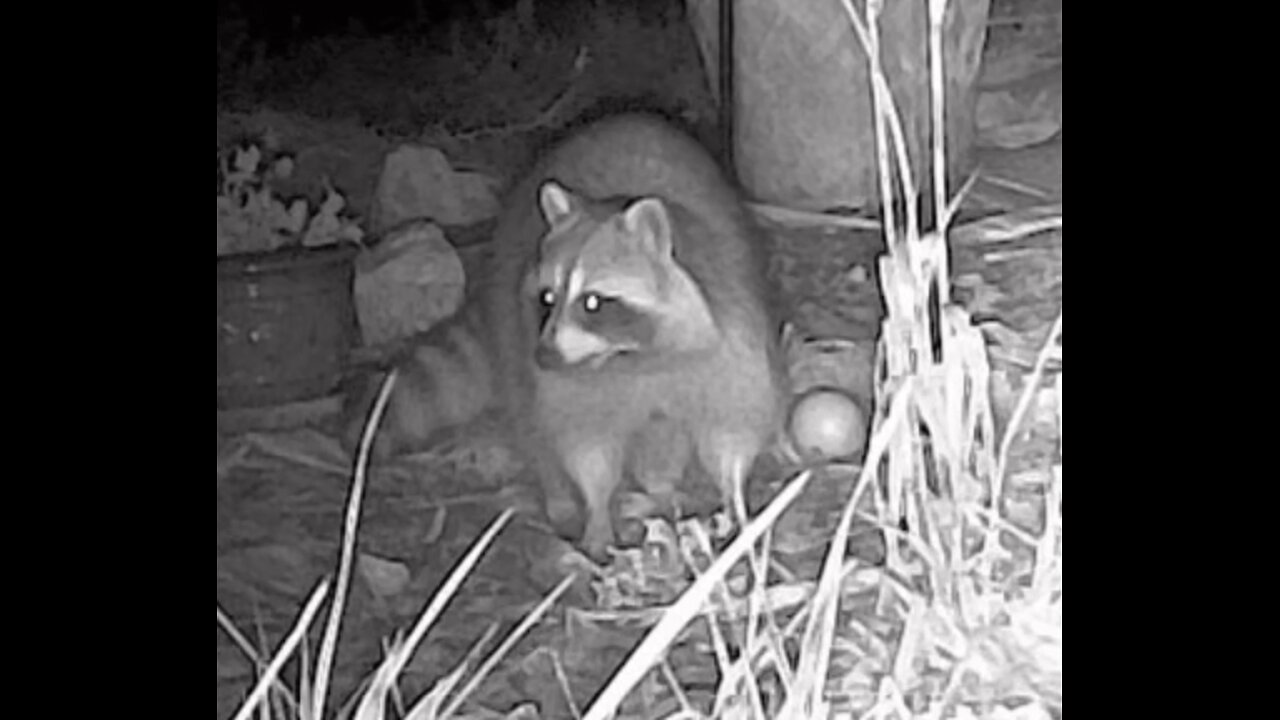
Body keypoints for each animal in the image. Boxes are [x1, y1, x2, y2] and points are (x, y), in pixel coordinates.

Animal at [350, 114, 788, 558]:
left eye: (592, 302)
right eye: (547, 297)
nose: (544, 356)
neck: (633, 355)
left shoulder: (728, 341)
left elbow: (731, 431)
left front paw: (735, 502)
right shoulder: (574, 381)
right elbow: (585, 447)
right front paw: (596, 512)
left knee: (661, 437)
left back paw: (659, 489)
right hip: (509, 320)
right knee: (531, 414)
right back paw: (560, 495)